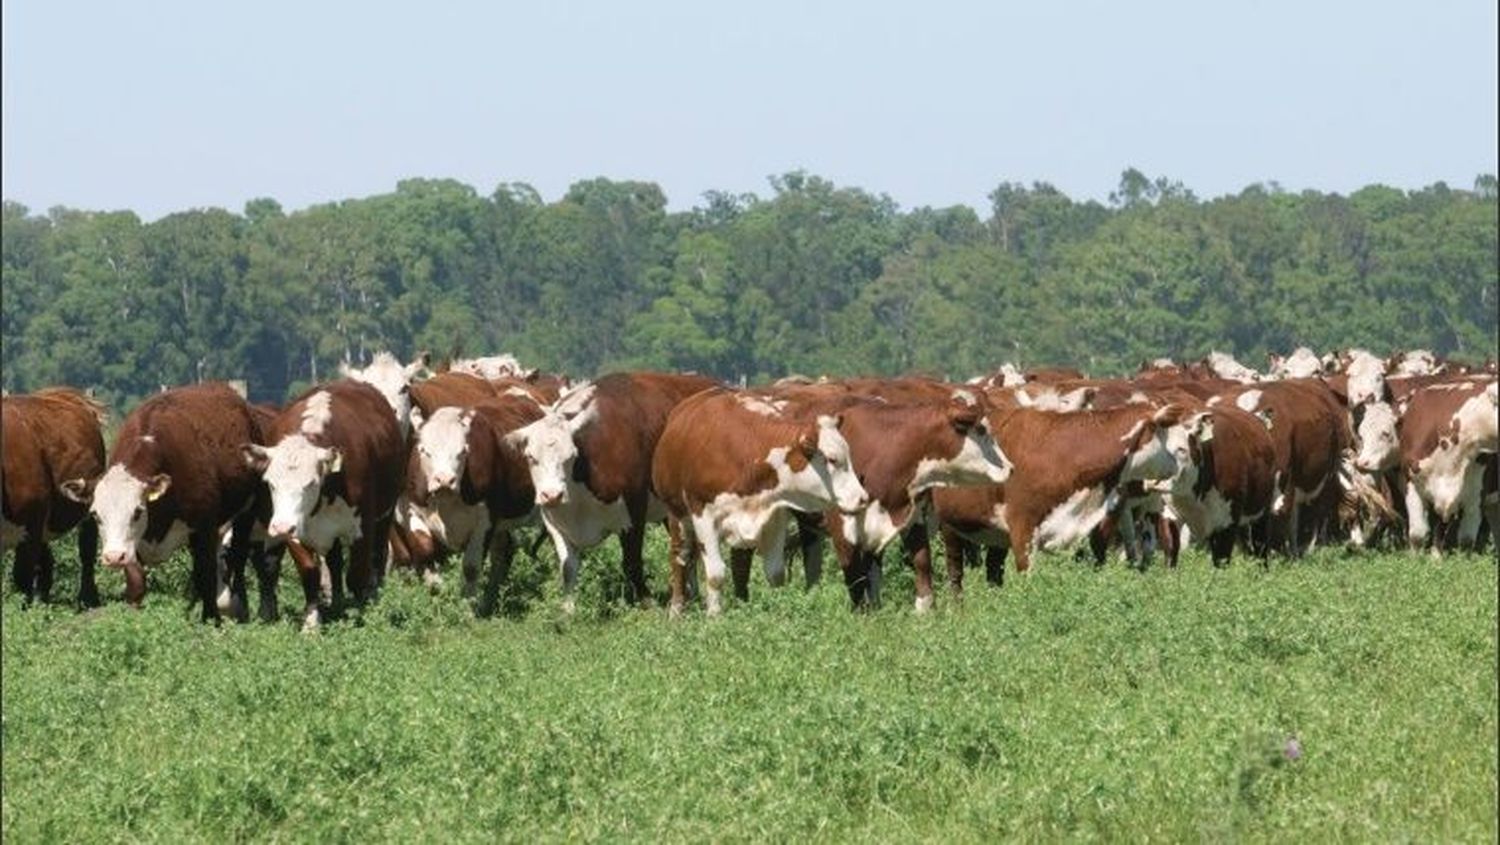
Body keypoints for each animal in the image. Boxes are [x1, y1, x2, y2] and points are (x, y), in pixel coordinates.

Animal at [1, 390, 107, 609]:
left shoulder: (32, 518)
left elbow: (22, 573)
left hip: (88, 500)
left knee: (87, 551)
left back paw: (88, 598)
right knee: (47, 561)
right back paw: (44, 598)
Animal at [61, 384, 264, 621]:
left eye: (138, 511)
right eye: (95, 515)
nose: (113, 557)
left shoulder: (204, 528)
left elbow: (206, 576)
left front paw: (211, 619)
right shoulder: (132, 548)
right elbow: (136, 584)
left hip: (247, 512)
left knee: (237, 558)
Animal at [243, 379, 405, 630]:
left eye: (310, 483)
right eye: (270, 483)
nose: (280, 527)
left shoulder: (362, 528)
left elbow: (357, 575)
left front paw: (360, 616)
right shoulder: (295, 528)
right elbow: (310, 572)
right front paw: (311, 622)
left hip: (385, 515)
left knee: (378, 558)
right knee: (335, 562)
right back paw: (336, 602)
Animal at [504, 373, 720, 612]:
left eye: (570, 456)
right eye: (530, 457)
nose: (552, 495)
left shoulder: (634, 512)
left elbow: (632, 563)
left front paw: (647, 603)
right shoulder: (555, 523)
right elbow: (567, 567)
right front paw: (568, 610)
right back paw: (692, 594)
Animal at [654, 387, 870, 615]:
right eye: (832, 459)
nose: (863, 498)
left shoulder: (775, 515)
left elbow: (775, 572)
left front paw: (776, 608)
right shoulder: (703, 514)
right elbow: (715, 573)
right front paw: (714, 615)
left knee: (740, 563)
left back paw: (741, 601)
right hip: (676, 512)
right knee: (679, 555)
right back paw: (676, 608)